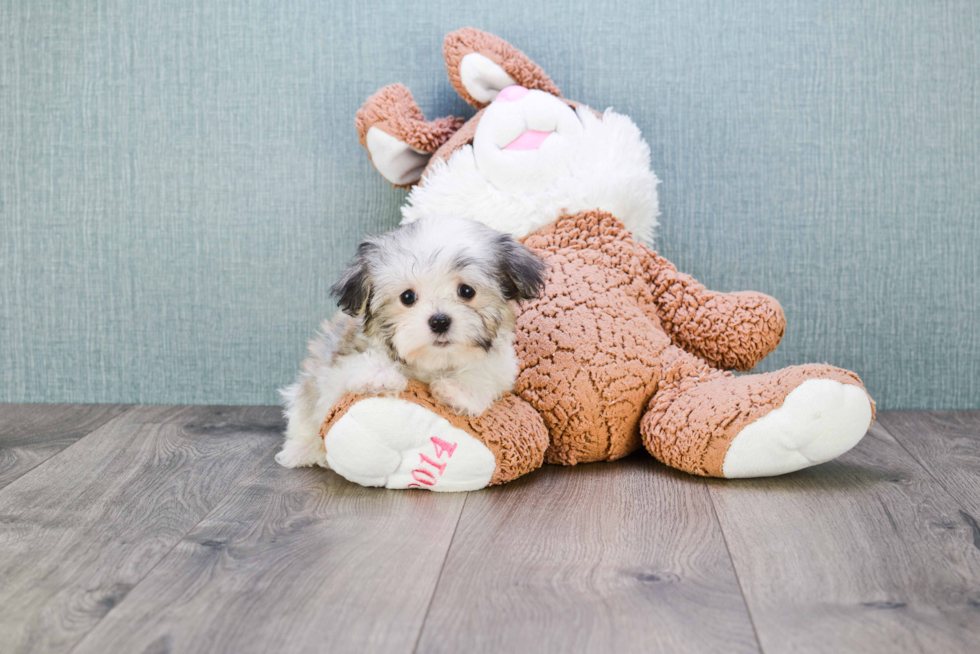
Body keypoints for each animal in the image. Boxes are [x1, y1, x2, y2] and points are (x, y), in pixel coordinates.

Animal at [276, 218, 548, 468]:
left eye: (467, 291)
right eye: (407, 297)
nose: (439, 321)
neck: (432, 363)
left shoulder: (503, 367)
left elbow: (486, 372)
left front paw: (459, 390)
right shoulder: (335, 364)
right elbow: (347, 370)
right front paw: (381, 377)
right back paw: (302, 450)